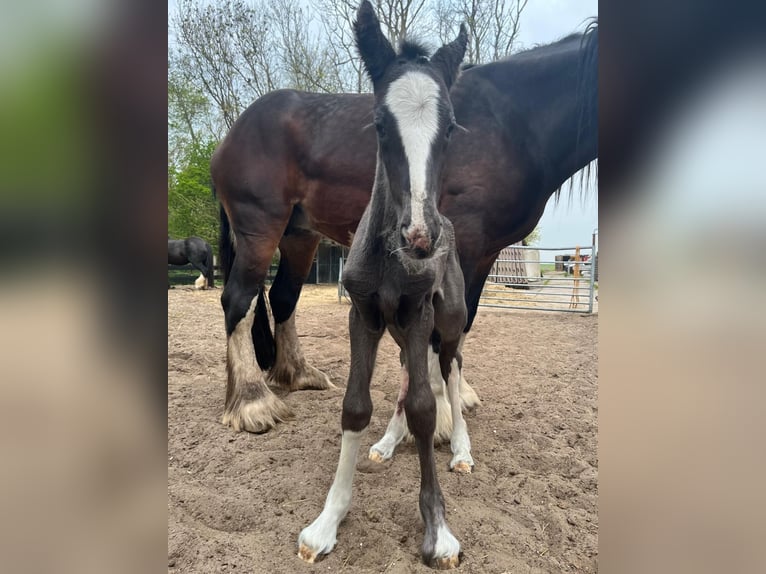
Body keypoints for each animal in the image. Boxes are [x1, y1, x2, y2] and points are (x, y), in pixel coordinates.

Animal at [211, 19, 598, 434]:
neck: (512, 123)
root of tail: (235, 132)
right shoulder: (463, 245)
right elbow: (442, 324)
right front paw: (441, 411)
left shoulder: (485, 253)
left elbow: (464, 319)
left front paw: (456, 393)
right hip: (259, 229)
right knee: (238, 299)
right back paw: (252, 402)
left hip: (300, 237)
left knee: (283, 298)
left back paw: (298, 374)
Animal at [298, 2, 468, 567]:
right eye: (378, 124)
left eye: (451, 127)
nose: (419, 236)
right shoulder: (366, 314)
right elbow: (356, 406)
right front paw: (326, 524)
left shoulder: (418, 314)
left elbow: (424, 407)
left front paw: (438, 532)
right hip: (396, 329)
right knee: (407, 378)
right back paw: (389, 443)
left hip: (447, 323)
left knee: (450, 370)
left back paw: (462, 449)